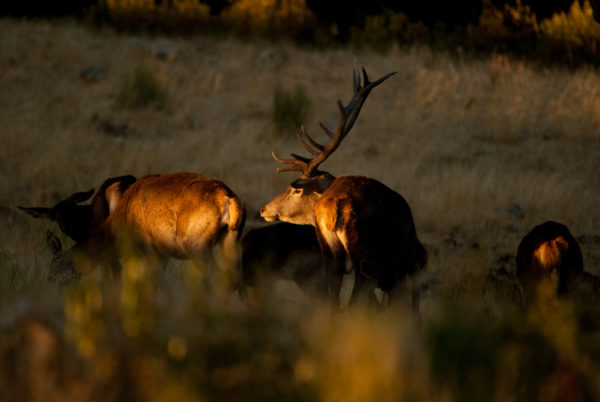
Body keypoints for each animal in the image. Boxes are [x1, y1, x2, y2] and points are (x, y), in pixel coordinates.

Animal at [262, 66, 426, 308]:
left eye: (295, 190)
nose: (264, 209)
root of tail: (334, 207)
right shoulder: (401, 275)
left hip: (332, 256)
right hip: (367, 261)